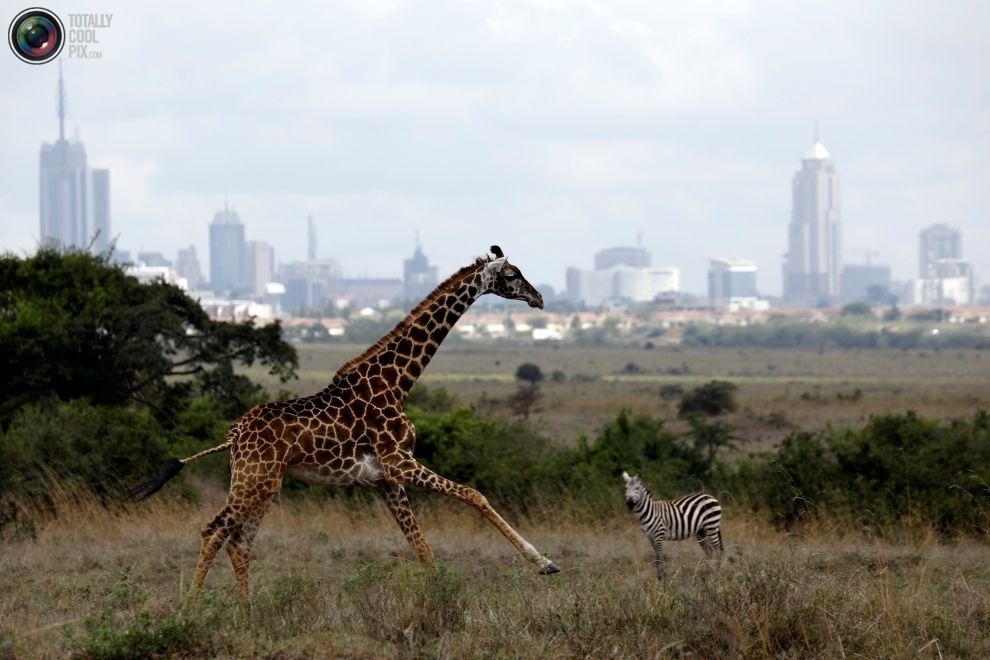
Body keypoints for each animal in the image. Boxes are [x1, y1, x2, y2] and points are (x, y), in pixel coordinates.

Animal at [132, 245, 560, 596]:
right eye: (511, 274)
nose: (539, 298)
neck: (396, 383)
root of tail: (234, 435)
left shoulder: (384, 479)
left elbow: (423, 548)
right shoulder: (400, 464)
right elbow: (474, 494)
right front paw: (543, 563)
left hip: (262, 484)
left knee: (240, 541)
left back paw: (247, 614)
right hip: (253, 480)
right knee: (215, 530)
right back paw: (191, 609)